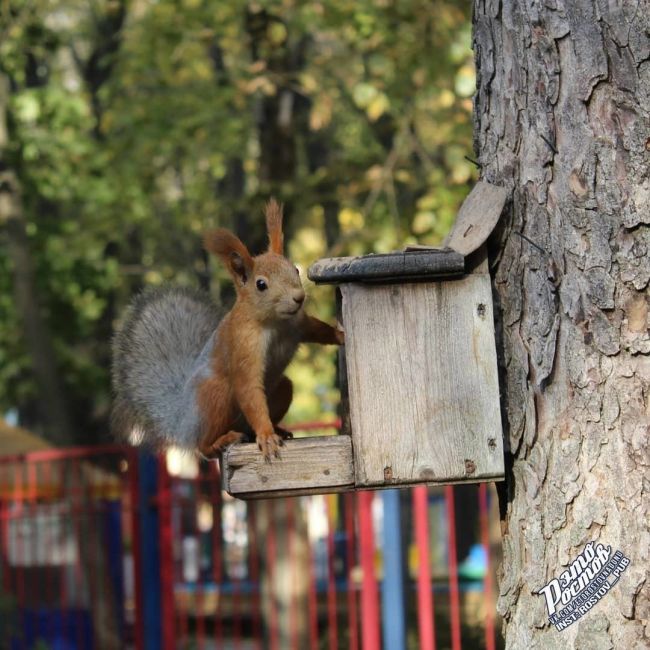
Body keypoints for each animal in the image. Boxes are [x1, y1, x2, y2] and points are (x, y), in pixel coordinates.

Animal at [110, 200, 344, 458]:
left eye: (295, 269)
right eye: (261, 284)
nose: (298, 297)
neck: (275, 323)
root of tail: (184, 423)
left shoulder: (299, 324)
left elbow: (318, 330)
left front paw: (341, 335)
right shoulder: (244, 345)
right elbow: (249, 389)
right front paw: (266, 435)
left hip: (281, 388)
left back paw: (276, 430)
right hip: (216, 395)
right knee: (202, 446)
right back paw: (222, 440)